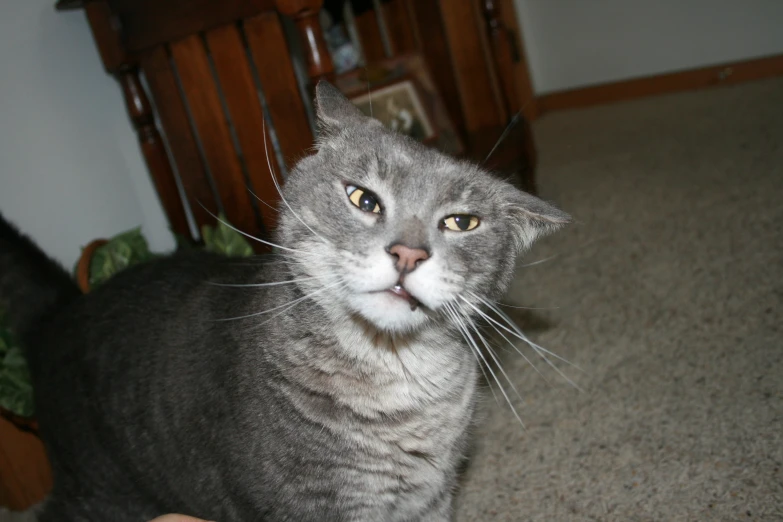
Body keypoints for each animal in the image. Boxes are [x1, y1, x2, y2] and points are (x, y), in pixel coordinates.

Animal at [3, 82, 572, 520]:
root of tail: (59, 312)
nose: (408, 253)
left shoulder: (430, 500)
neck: (398, 386)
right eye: (363, 198)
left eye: (461, 222)